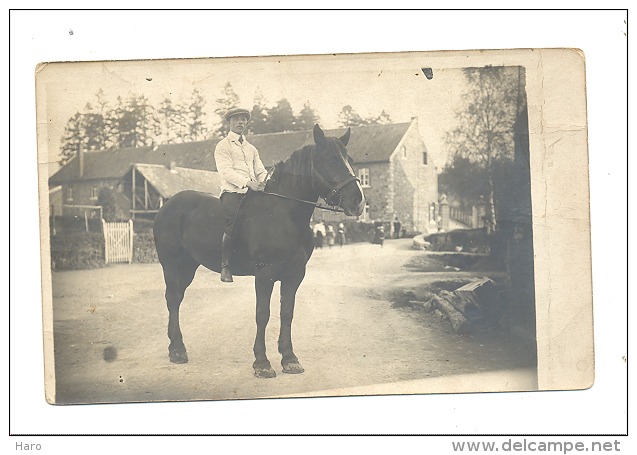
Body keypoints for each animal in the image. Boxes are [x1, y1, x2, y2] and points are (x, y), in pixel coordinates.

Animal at [151, 124, 366, 378]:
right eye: (330, 160)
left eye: (350, 160)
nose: (358, 201)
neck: (283, 213)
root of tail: (168, 205)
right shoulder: (265, 274)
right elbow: (262, 314)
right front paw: (262, 362)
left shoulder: (294, 275)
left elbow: (287, 313)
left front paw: (289, 358)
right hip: (172, 266)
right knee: (173, 300)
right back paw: (177, 350)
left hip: (188, 267)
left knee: (176, 299)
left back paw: (176, 347)